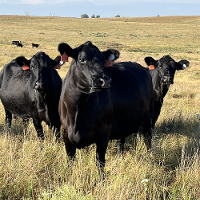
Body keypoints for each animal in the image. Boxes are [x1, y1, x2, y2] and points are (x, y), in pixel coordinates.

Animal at [57, 41, 155, 176]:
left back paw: (150, 157)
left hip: (148, 117)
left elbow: (100, 162)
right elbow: (70, 159)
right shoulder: (65, 132)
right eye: (82, 59)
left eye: (103, 60)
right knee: (121, 139)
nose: (105, 81)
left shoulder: (103, 133)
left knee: (147, 138)